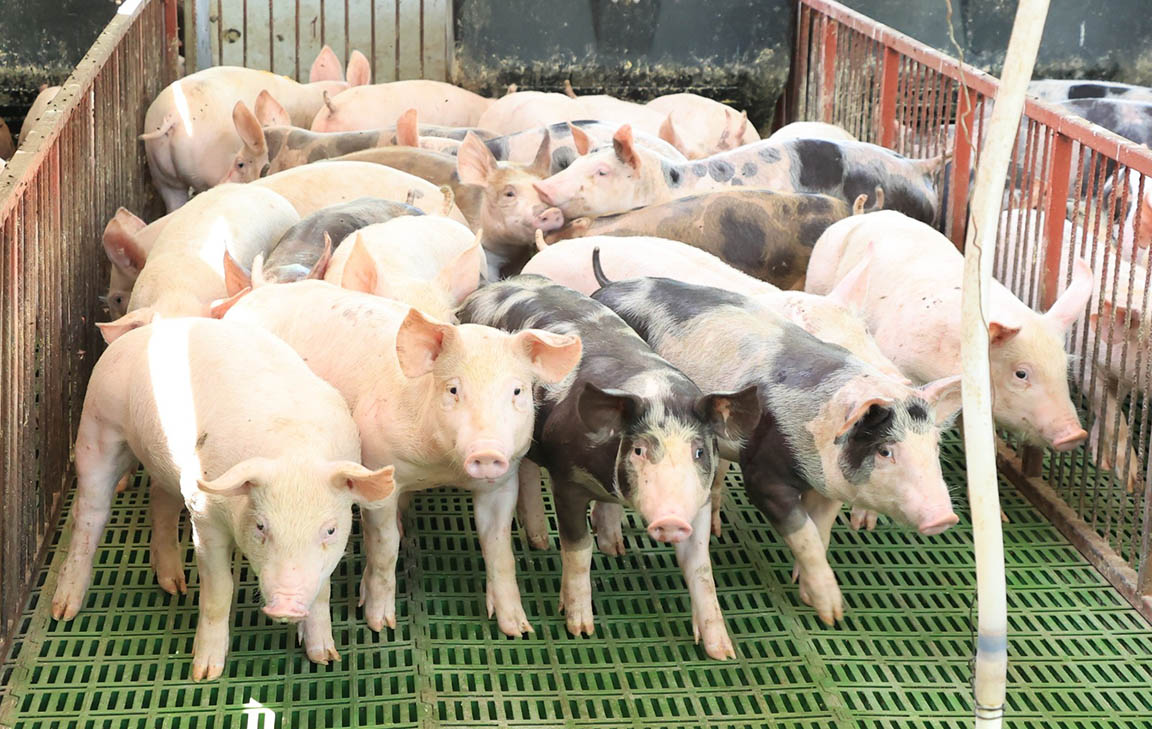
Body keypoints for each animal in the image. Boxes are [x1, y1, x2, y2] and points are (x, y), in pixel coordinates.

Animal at [51, 317, 395, 679]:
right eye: (261, 526)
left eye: (330, 530)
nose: (286, 603)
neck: (293, 453)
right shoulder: (204, 517)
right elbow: (219, 591)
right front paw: (205, 673)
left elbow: (322, 592)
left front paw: (325, 658)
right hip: (97, 426)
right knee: (90, 514)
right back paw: (64, 610)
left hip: (165, 466)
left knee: (160, 503)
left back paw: (175, 585)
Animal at [224, 281, 582, 635]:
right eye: (453, 389)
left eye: (517, 391)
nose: (487, 452)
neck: (442, 467)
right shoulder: (378, 467)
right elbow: (385, 546)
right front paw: (380, 623)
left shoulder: (502, 482)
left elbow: (498, 548)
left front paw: (519, 628)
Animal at [457, 275, 760, 658]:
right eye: (639, 449)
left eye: (699, 452)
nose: (672, 520)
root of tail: (496, 286)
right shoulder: (567, 480)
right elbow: (578, 550)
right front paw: (579, 628)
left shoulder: (701, 499)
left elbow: (701, 568)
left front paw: (723, 651)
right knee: (526, 473)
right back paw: (542, 543)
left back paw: (608, 546)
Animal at [593, 270, 963, 625]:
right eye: (885, 450)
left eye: (933, 445)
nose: (944, 517)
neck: (817, 426)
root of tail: (610, 286)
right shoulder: (763, 473)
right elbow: (804, 533)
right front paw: (832, 613)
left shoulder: (830, 484)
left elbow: (820, 531)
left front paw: (809, 595)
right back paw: (616, 548)